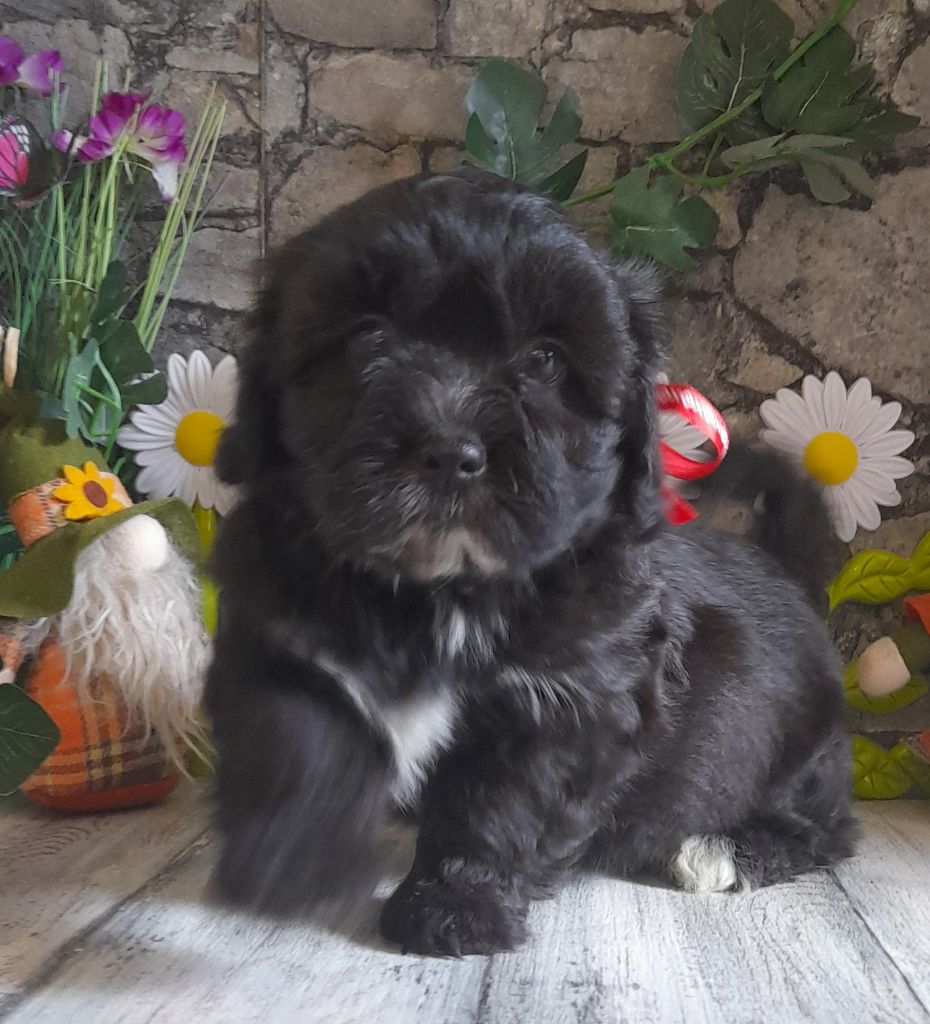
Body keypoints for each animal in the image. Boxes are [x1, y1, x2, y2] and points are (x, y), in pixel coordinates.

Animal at [205, 170, 855, 956]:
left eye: (544, 360)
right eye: (367, 337)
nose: (450, 449)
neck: (438, 594)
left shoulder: (568, 703)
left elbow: (496, 807)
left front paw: (455, 904)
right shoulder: (276, 633)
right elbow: (295, 734)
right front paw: (292, 856)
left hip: (803, 748)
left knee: (826, 825)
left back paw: (727, 848)